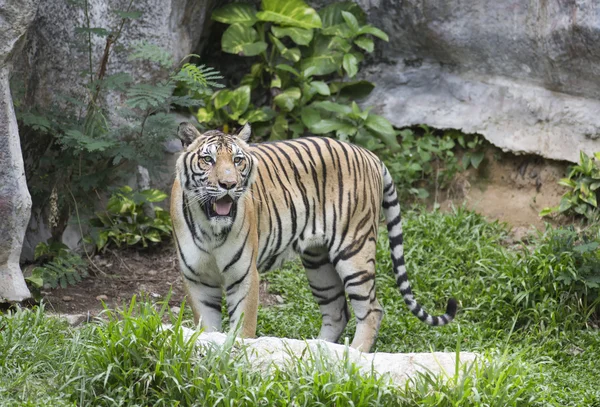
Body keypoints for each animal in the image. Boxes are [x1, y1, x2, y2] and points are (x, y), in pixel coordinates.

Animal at [171, 122, 458, 352]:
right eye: (208, 160)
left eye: (238, 161)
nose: (229, 185)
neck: (211, 228)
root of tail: (370, 154)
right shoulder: (198, 280)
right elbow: (207, 329)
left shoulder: (244, 277)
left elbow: (243, 330)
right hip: (319, 264)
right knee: (337, 311)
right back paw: (318, 351)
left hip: (354, 251)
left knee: (372, 310)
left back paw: (354, 354)